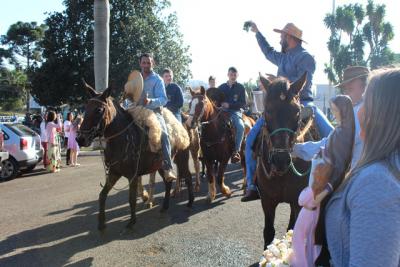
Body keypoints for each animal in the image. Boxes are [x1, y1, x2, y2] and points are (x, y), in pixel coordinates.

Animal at [77, 82, 195, 231]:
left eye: (98, 110)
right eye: (86, 108)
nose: (80, 139)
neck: (123, 139)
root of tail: (182, 124)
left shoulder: (132, 176)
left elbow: (131, 199)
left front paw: (132, 222)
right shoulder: (114, 173)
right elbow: (102, 195)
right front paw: (101, 223)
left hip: (181, 158)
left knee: (188, 176)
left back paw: (190, 203)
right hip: (161, 166)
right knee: (168, 182)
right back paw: (164, 207)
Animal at [255, 73, 318, 249]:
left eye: (297, 111)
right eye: (268, 110)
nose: (281, 160)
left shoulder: (297, 200)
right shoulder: (267, 201)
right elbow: (268, 232)